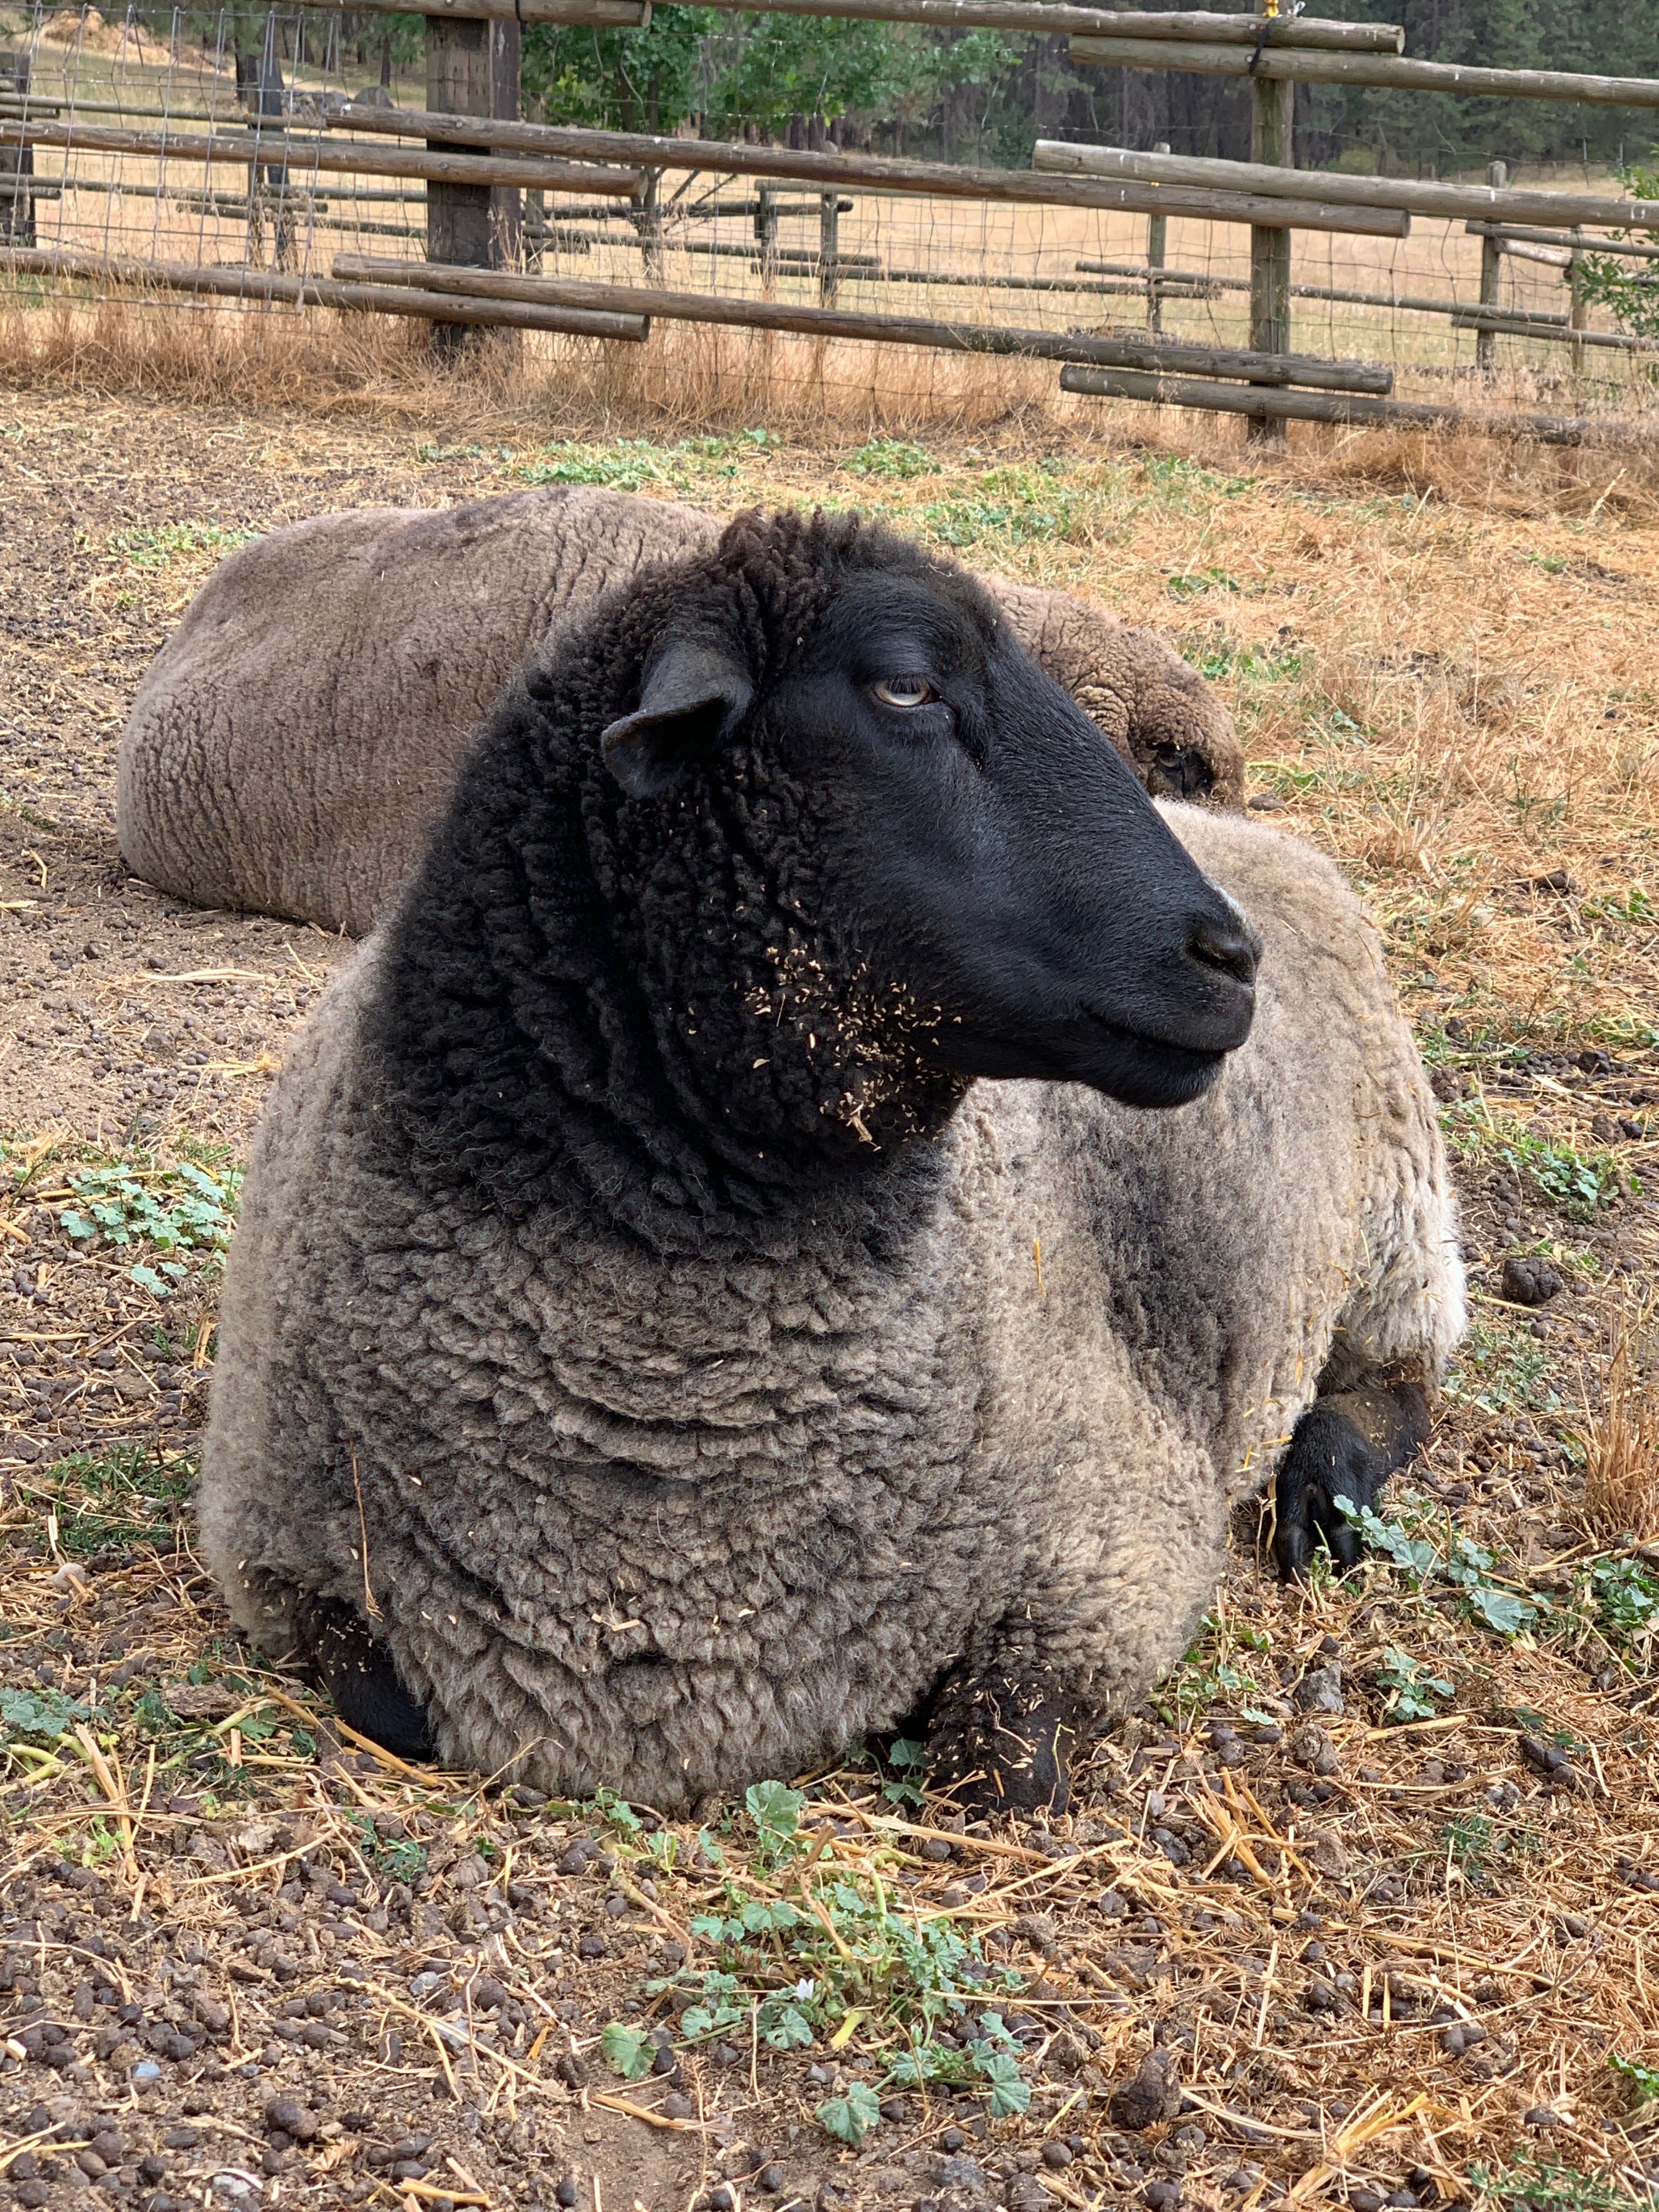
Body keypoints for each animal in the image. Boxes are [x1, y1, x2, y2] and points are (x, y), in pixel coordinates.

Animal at [198, 508, 1462, 1815]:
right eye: (906, 685)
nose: (1229, 957)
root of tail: (1271, 846)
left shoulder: (1118, 1546)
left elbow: (993, 1768)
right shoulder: (268, 1550)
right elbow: (390, 1705)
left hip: (1395, 1218)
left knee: (1401, 1376)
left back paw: (1327, 1489)